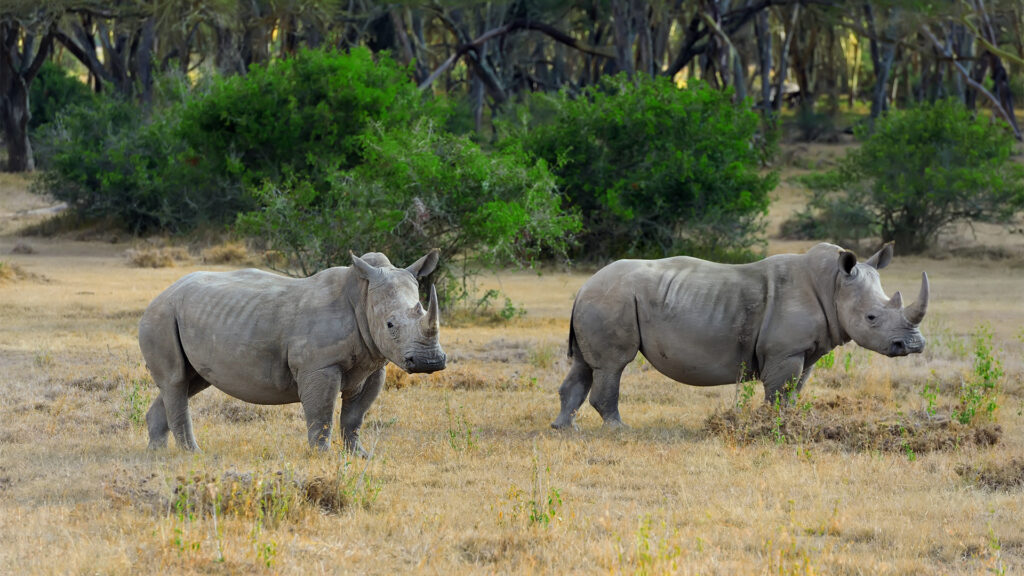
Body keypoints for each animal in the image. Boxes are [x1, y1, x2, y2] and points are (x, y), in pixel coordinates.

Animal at [139, 250, 446, 454]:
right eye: (390, 325)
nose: (429, 361)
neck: (362, 296)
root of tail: (161, 294)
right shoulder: (320, 366)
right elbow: (322, 413)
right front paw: (322, 456)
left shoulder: (373, 364)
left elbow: (354, 416)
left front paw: (359, 455)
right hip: (161, 316)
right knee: (176, 381)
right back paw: (192, 455)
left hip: (181, 315)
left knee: (188, 382)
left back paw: (157, 454)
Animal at [551, 242, 928, 429]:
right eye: (872, 317)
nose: (914, 345)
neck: (833, 284)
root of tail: (583, 287)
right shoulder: (785, 351)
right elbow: (779, 392)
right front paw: (773, 428)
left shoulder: (805, 352)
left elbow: (794, 391)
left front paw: (789, 424)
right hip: (611, 300)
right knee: (613, 365)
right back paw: (618, 429)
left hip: (600, 300)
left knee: (585, 365)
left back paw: (564, 428)